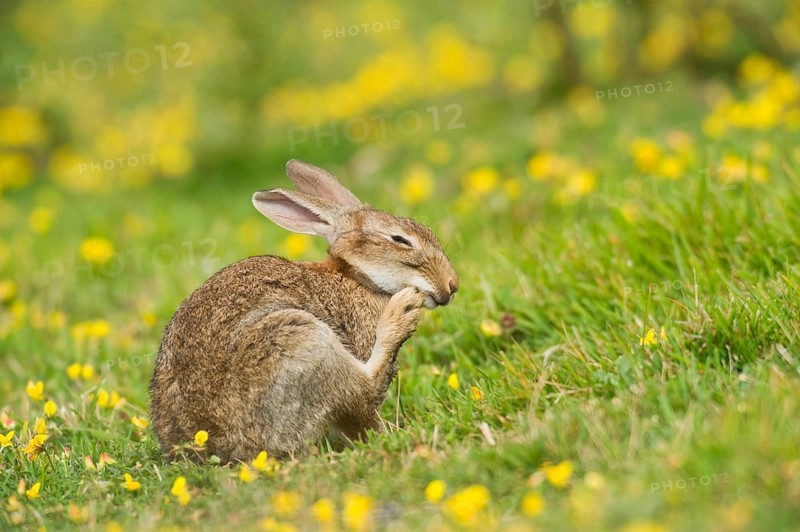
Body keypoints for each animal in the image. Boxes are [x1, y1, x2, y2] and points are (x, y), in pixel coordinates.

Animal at [149, 159, 458, 462]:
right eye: (400, 239)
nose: (452, 285)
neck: (357, 277)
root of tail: (219, 447)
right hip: (300, 339)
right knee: (361, 387)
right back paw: (401, 314)